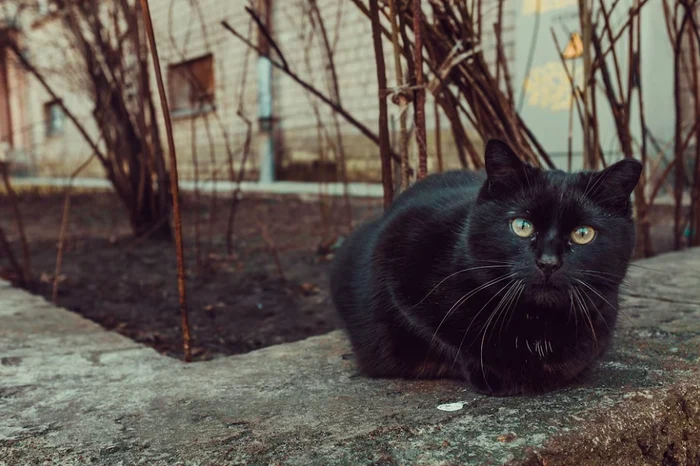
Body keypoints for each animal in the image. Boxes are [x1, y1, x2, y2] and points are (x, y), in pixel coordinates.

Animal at [330, 137, 644, 394]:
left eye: (583, 233)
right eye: (521, 225)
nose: (548, 262)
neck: (537, 322)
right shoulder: (395, 256)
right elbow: (438, 337)